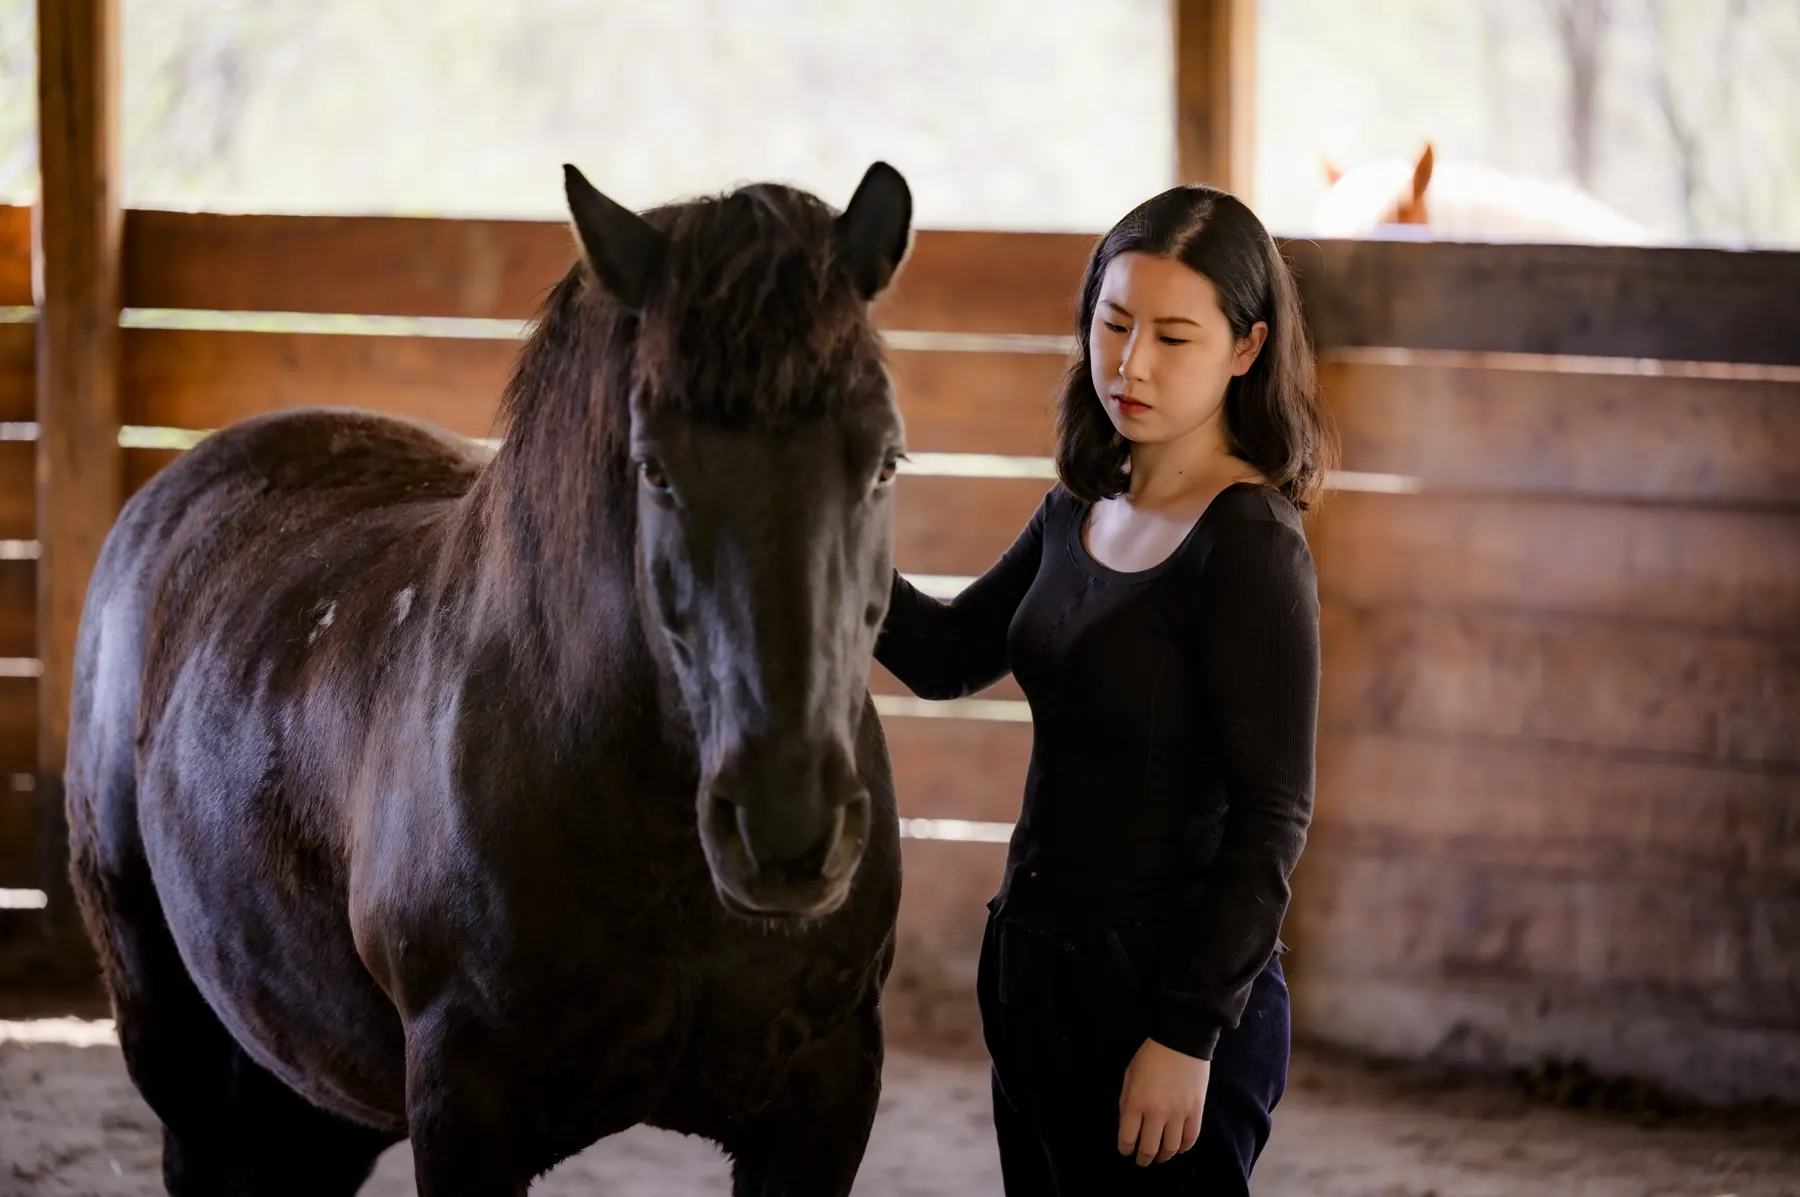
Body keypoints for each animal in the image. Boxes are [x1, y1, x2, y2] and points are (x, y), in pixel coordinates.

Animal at [64, 161, 915, 1196]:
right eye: (655, 469)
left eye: (884, 459)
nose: (784, 828)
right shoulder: (465, 1107)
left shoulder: (821, 1098)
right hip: (172, 1045)